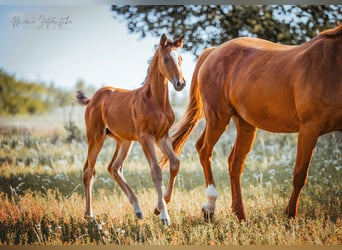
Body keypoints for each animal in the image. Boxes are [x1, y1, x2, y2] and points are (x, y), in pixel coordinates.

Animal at [76, 33, 186, 225]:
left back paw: (138, 209)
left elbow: (174, 163)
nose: (180, 83)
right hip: (95, 137)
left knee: (114, 168)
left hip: (124, 141)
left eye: (180, 58)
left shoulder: (162, 136)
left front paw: (158, 208)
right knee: (89, 171)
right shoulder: (145, 137)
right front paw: (164, 216)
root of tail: (93, 99)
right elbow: (156, 171)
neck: (155, 101)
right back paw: (89, 215)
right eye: (165, 58)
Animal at [164, 25, 342, 221]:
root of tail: (214, 51)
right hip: (218, 119)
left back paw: (240, 214)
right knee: (204, 150)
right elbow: (300, 175)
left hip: (245, 125)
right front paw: (290, 217)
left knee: (235, 163)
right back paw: (210, 207)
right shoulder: (309, 128)